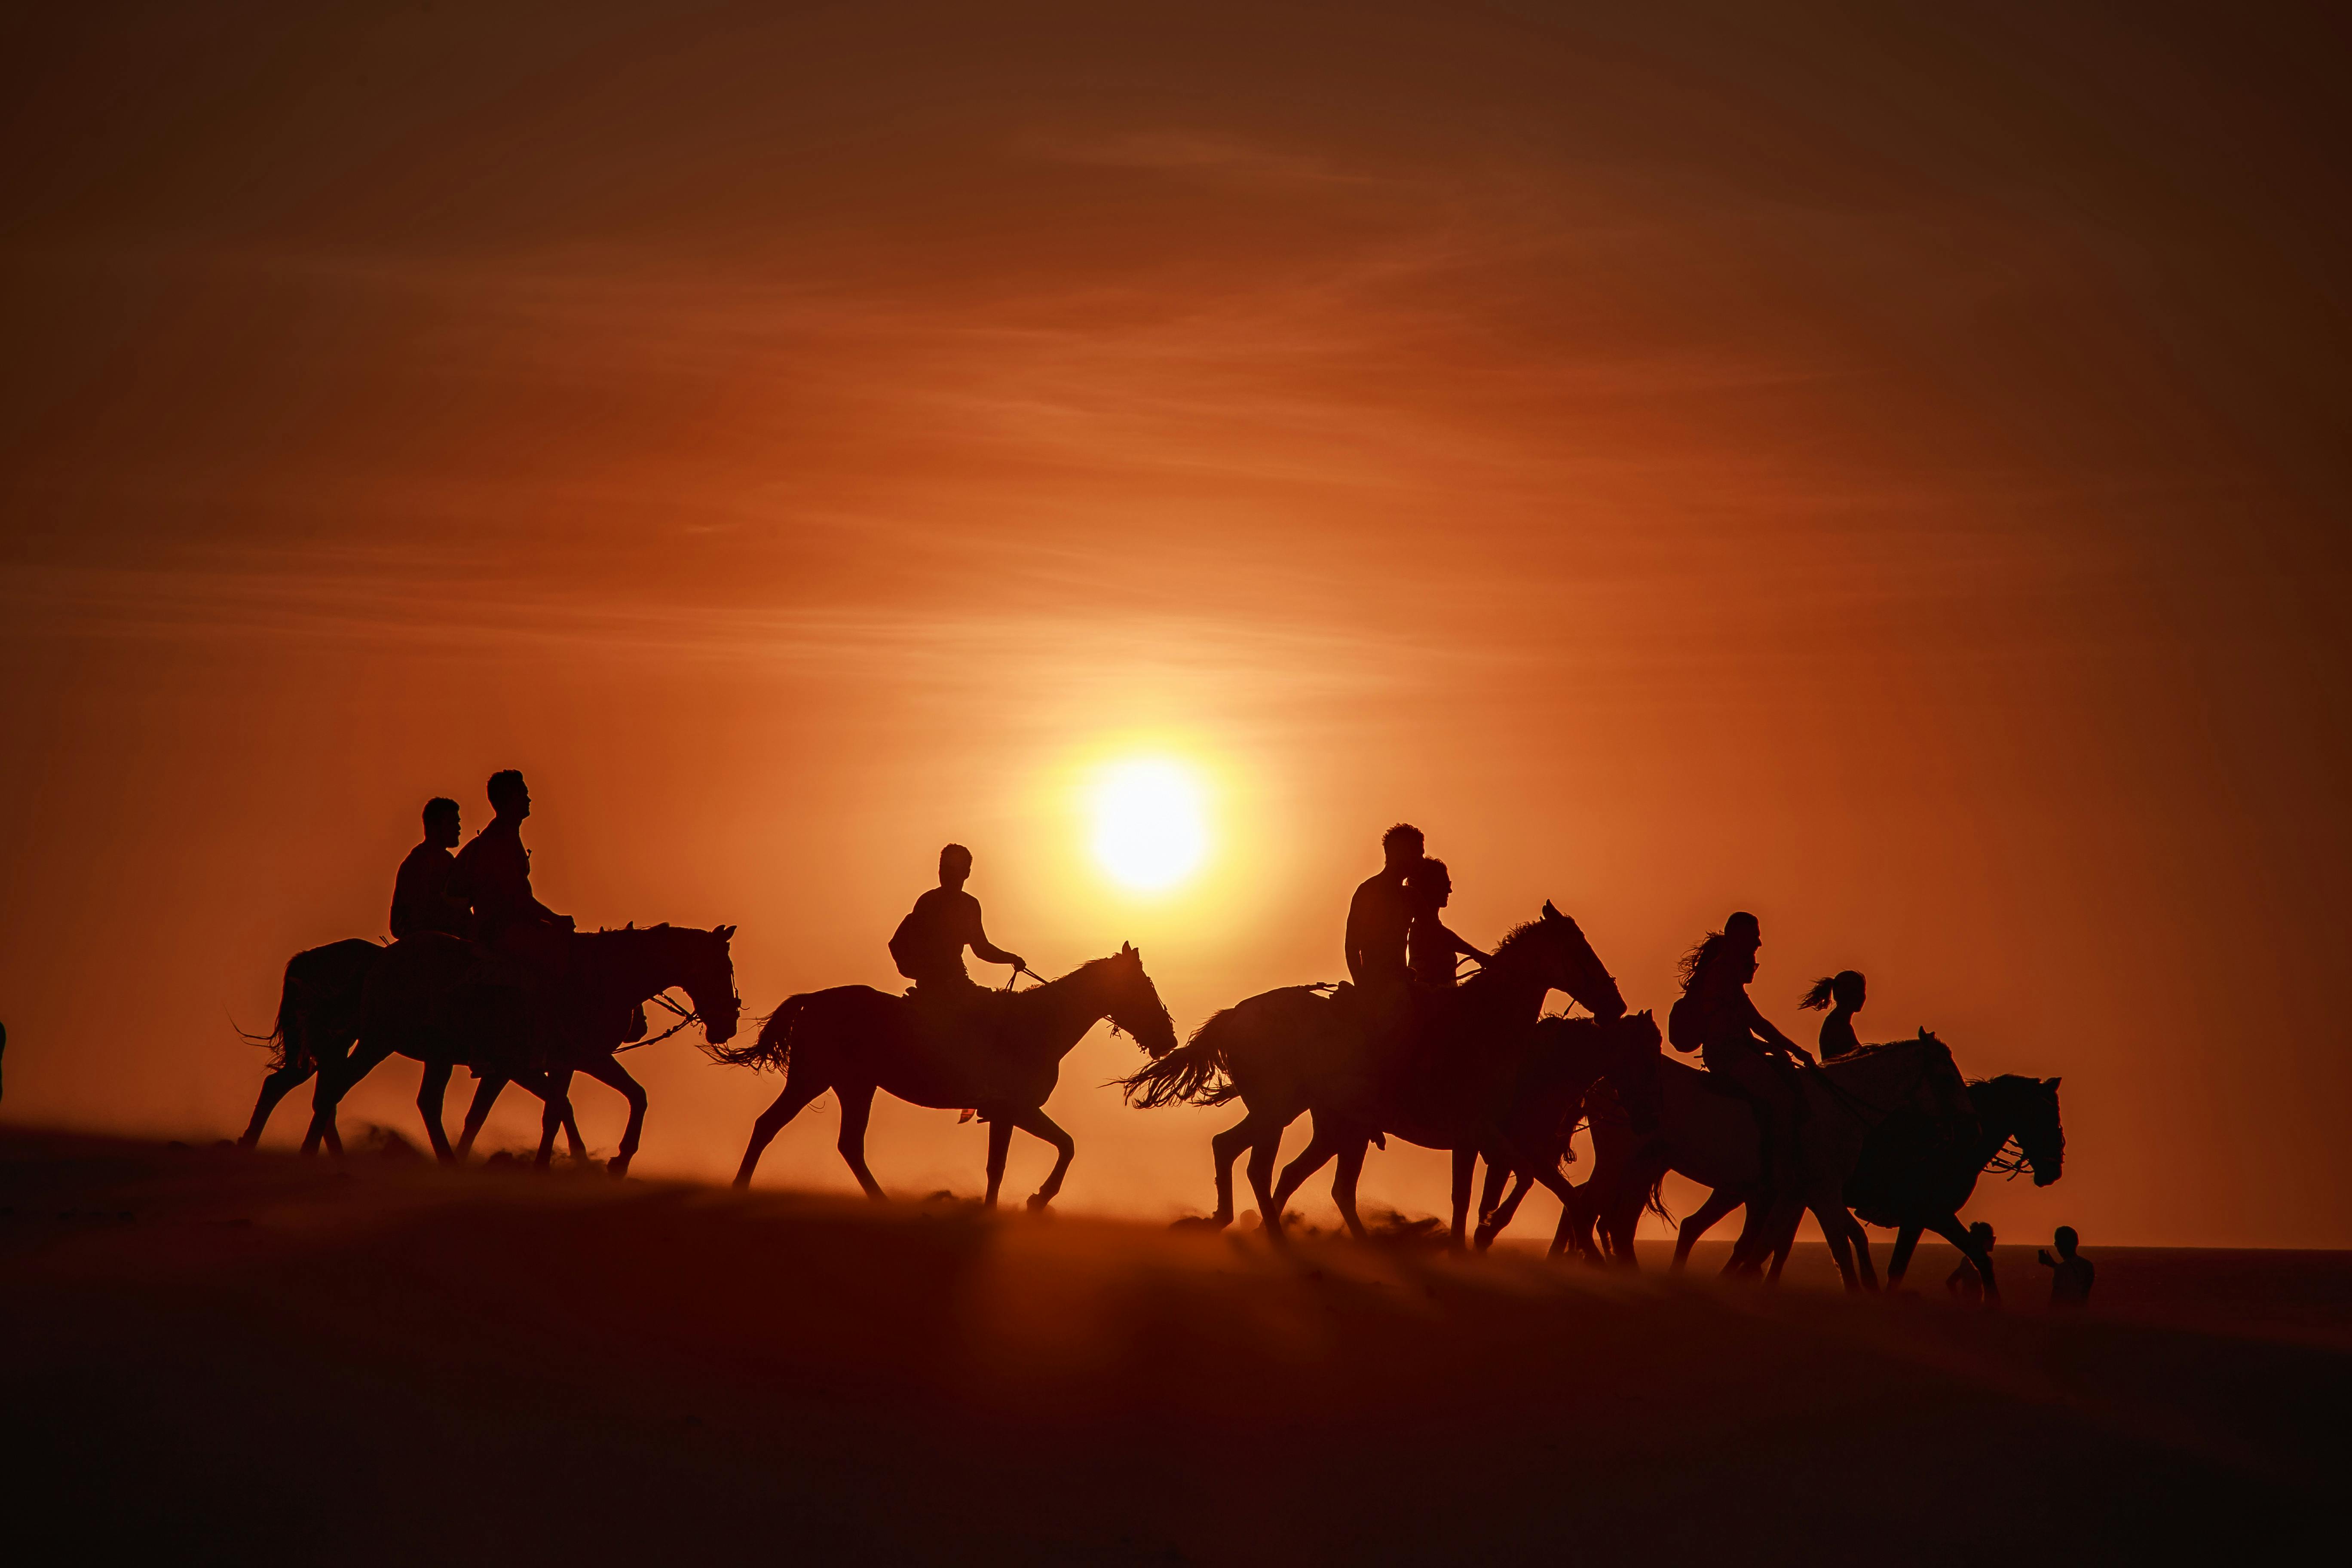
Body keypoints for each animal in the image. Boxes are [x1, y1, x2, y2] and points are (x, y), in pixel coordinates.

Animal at [303, 926, 738, 1170]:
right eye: (722, 969)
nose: (728, 1025)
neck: (600, 977)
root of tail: (381, 960)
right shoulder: (556, 1060)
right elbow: (563, 1108)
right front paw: (590, 1161)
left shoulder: (570, 1061)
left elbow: (621, 1098)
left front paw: (609, 1159)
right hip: (380, 1040)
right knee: (336, 1089)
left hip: (433, 1053)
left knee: (424, 1103)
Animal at [701, 940, 1171, 1213]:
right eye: (1143, 988)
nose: (1167, 1038)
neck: (1038, 1024)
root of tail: (814, 1000)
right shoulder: (1009, 1109)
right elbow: (1008, 1163)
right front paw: (1026, 1202)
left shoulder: (1015, 1111)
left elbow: (1060, 1146)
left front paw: (1034, 1199)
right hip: (815, 1078)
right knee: (775, 1127)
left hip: (850, 1084)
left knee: (838, 1142)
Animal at [1119, 903, 1618, 1241]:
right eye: (1582, 952)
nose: (1616, 1004)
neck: (1484, 1025)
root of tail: (1237, 1015)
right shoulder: (1478, 1131)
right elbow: (1501, 1186)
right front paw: (1485, 1227)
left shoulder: (1485, 1138)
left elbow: (1512, 1190)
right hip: (1280, 1111)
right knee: (1263, 1169)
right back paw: (1277, 1236)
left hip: (1299, 1116)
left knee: (1242, 1154)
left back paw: (1231, 1222)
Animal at [1571, 1029, 1975, 1288]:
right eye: (1946, 1076)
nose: (1967, 1122)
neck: (1835, 1109)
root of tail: (1602, 1081)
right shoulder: (1822, 1191)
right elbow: (1840, 1244)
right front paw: (1858, 1291)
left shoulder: (1799, 1194)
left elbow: (1776, 1242)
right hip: (1619, 1162)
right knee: (1590, 1210)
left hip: (1643, 1167)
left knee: (1620, 1223)